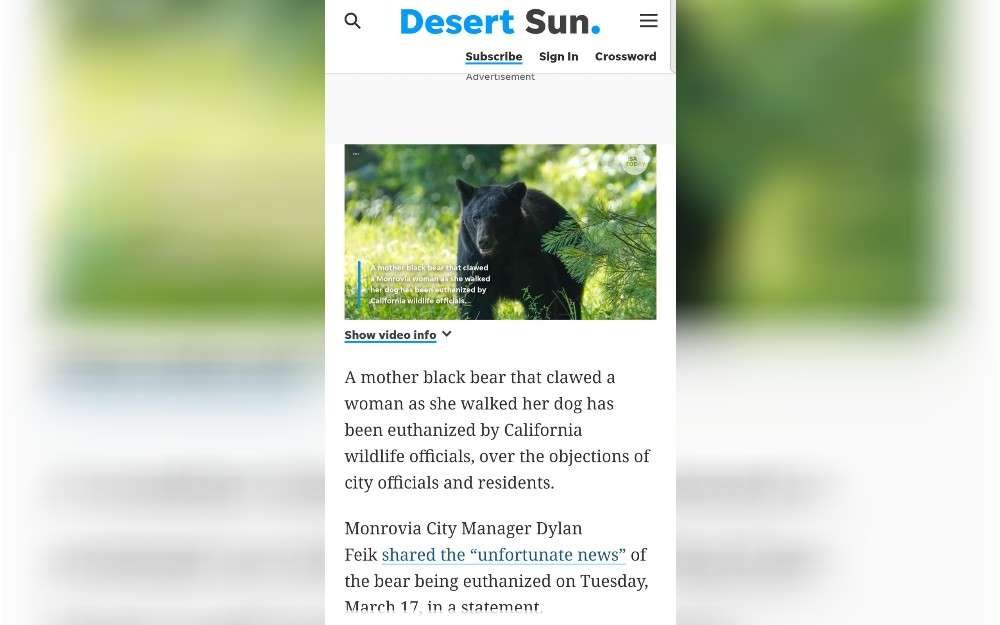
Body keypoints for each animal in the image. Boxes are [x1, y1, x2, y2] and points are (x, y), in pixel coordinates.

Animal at [455, 179, 583, 320]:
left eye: (496, 217)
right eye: (475, 218)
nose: (484, 242)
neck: (499, 255)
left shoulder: (526, 253)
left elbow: (540, 295)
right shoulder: (473, 261)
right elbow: (474, 303)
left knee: (568, 298)